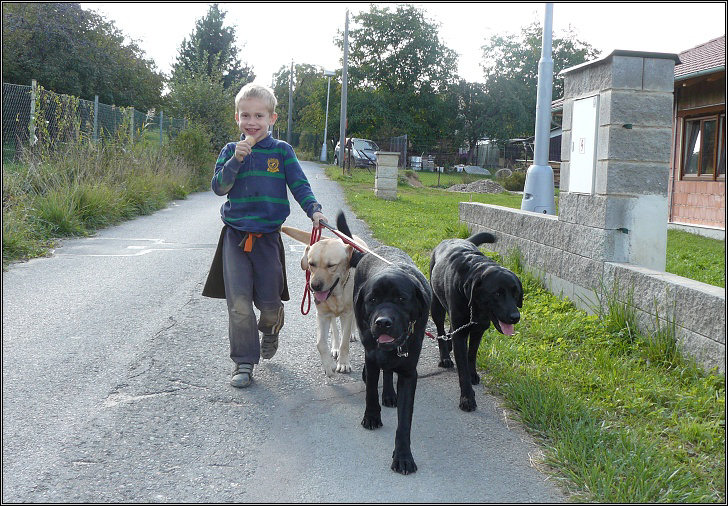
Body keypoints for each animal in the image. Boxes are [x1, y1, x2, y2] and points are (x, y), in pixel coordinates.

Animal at [281, 225, 366, 377]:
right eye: (311, 264)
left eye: (331, 265)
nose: (314, 286)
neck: (336, 294)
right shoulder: (322, 315)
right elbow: (320, 343)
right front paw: (328, 365)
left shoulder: (347, 314)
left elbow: (345, 342)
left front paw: (343, 364)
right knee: (334, 329)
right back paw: (335, 348)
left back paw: (351, 335)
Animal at [337, 211, 432, 475]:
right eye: (372, 300)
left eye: (401, 299)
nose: (383, 322)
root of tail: (368, 252)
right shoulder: (371, 356)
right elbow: (370, 390)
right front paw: (371, 417)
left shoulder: (409, 372)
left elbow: (405, 422)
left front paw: (403, 456)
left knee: (389, 370)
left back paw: (389, 393)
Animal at [429, 232, 523, 412]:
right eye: (497, 293)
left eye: (515, 292)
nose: (515, 317)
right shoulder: (461, 333)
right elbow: (462, 368)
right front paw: (467, 398)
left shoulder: (479, 329)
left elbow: (471, 355)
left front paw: (473, 374)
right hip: (436, 306)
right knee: (440, 331)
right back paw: (445, 357)